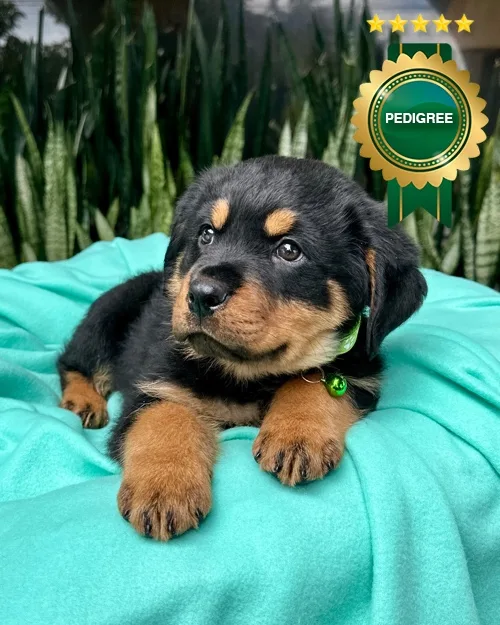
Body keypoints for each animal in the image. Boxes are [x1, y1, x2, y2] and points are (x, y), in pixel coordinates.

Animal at [58, 156, 427, 541]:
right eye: (206, 234)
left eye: (289, 250)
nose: (200, 294)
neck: (243, 374)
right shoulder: (154, 383)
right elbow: (164, 417)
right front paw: (163, 489)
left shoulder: (361, 370)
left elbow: (316, 379)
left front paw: (297, 435)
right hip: (106, 315)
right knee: (74, 361)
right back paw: (84, 402)